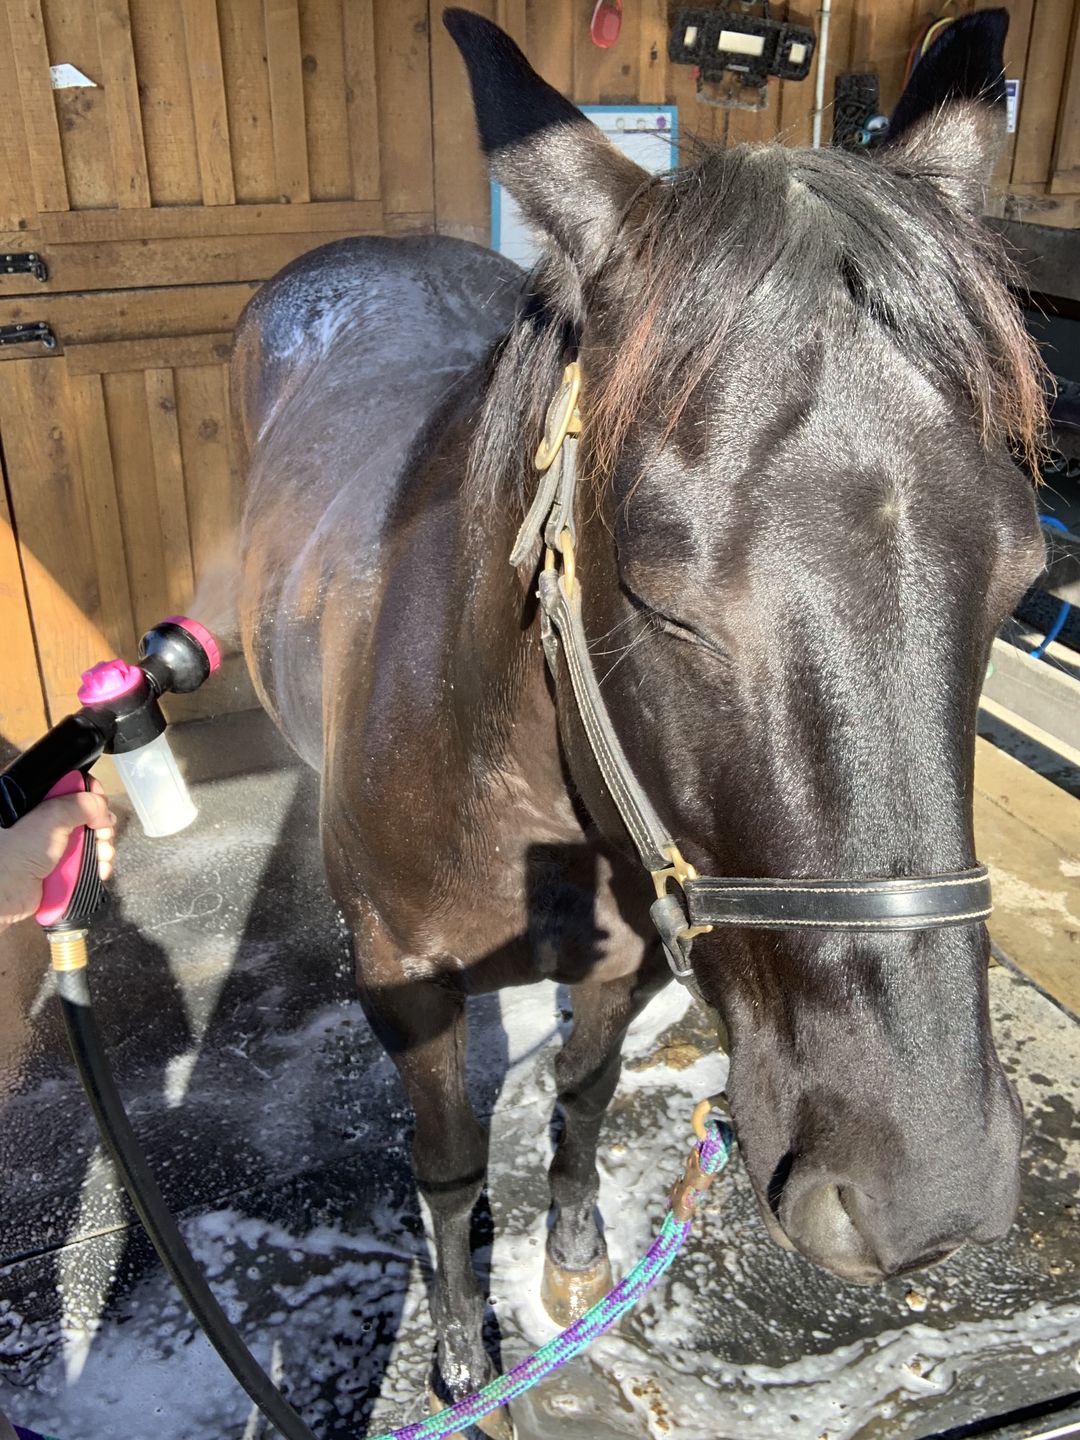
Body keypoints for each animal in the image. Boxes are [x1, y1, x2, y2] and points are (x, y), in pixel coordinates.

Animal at [233, 8, 1045, 1431]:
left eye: (1020, 578)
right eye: (663, 590)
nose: (928, 1190)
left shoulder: (626, 959)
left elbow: (585, 1090)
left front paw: (572, 1255)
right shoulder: (411, 992)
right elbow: (449, 1175)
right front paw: (466, 1367)